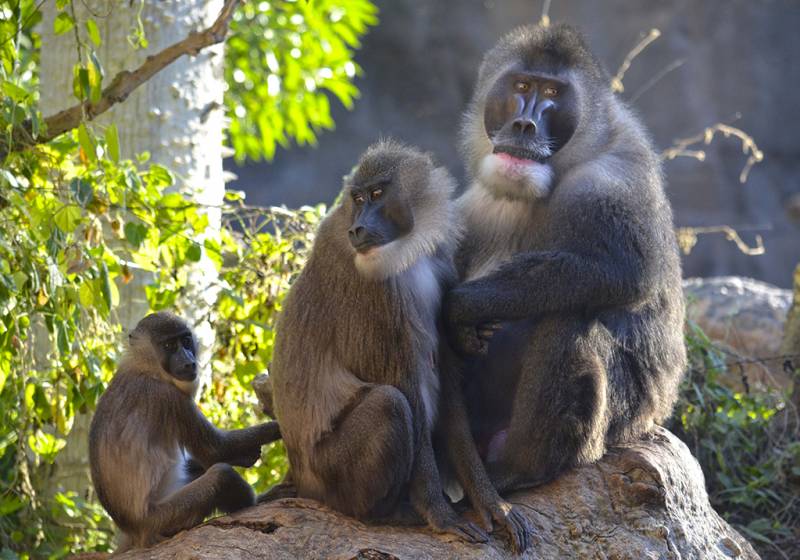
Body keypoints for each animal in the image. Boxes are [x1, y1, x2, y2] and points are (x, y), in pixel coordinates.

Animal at [88, 310, 280, 552]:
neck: (144, 366)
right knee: (221, 475)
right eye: (169, 345)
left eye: (186, 341)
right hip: (162, 519)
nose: (188, 360)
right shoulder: (169, 398)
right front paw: (277, 427)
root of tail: (134, 532)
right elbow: (216, 450)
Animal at [270, 141, 532, 552]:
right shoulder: (374, 293)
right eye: (358, 198)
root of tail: (299, 475)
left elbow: (449, 394)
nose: (357, 227)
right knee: (389, 404)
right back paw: (388, 513)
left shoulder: (441, 268)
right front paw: (441, 515)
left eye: (378, 193)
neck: (408, 253)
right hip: (330, 475)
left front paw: (491, 503)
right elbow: (404, 388)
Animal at [444, 24, 688, 492]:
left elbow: (622, 273)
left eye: (553, 92)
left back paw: (519, 469)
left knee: (568, 319)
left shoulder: (613, 178)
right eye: (522, 86)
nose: (525, 123)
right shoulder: (478, 207)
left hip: (618, 420)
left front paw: (462, 307)